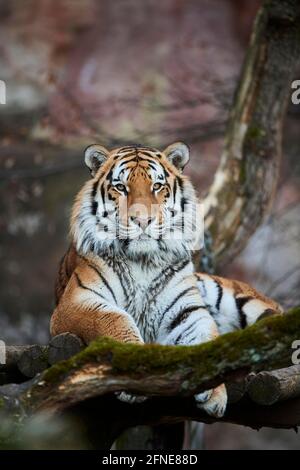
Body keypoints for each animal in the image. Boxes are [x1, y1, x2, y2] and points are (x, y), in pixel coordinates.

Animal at [50, 142, 282, 418]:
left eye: (157, 186)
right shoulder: (75, 303)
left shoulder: (188, 310)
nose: (142, 220)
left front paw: (215, 393)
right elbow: (115, 319)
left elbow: (207, 338)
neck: (142, 261)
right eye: (121, 187)